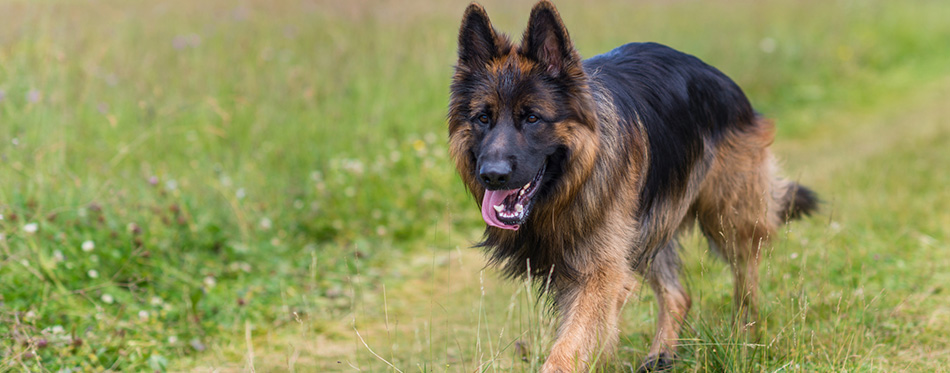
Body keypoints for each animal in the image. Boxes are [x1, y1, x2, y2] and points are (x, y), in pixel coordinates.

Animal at [446, 1, 820, 370]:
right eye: (483, 118)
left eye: (533, 118)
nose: (492, 175)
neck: (568, 190)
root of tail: (716, 74)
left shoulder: (600, 276)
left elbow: (566, 352)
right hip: (645, 226)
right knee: (679, 294)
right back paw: (662, 353)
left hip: (727, 218)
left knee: (746, 280)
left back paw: (745, 338)